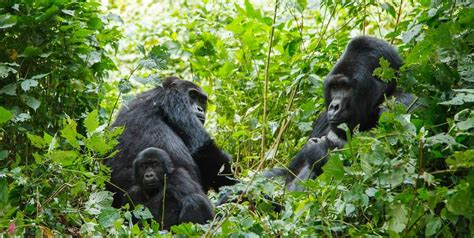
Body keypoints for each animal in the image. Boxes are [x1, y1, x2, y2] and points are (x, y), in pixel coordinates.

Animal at [268, 35, 416, 192]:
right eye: (335, 87)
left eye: (346, 87)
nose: (334, 106)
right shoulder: (323, 118)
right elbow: (285, 172)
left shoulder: (403, 102)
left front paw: (321, 150)